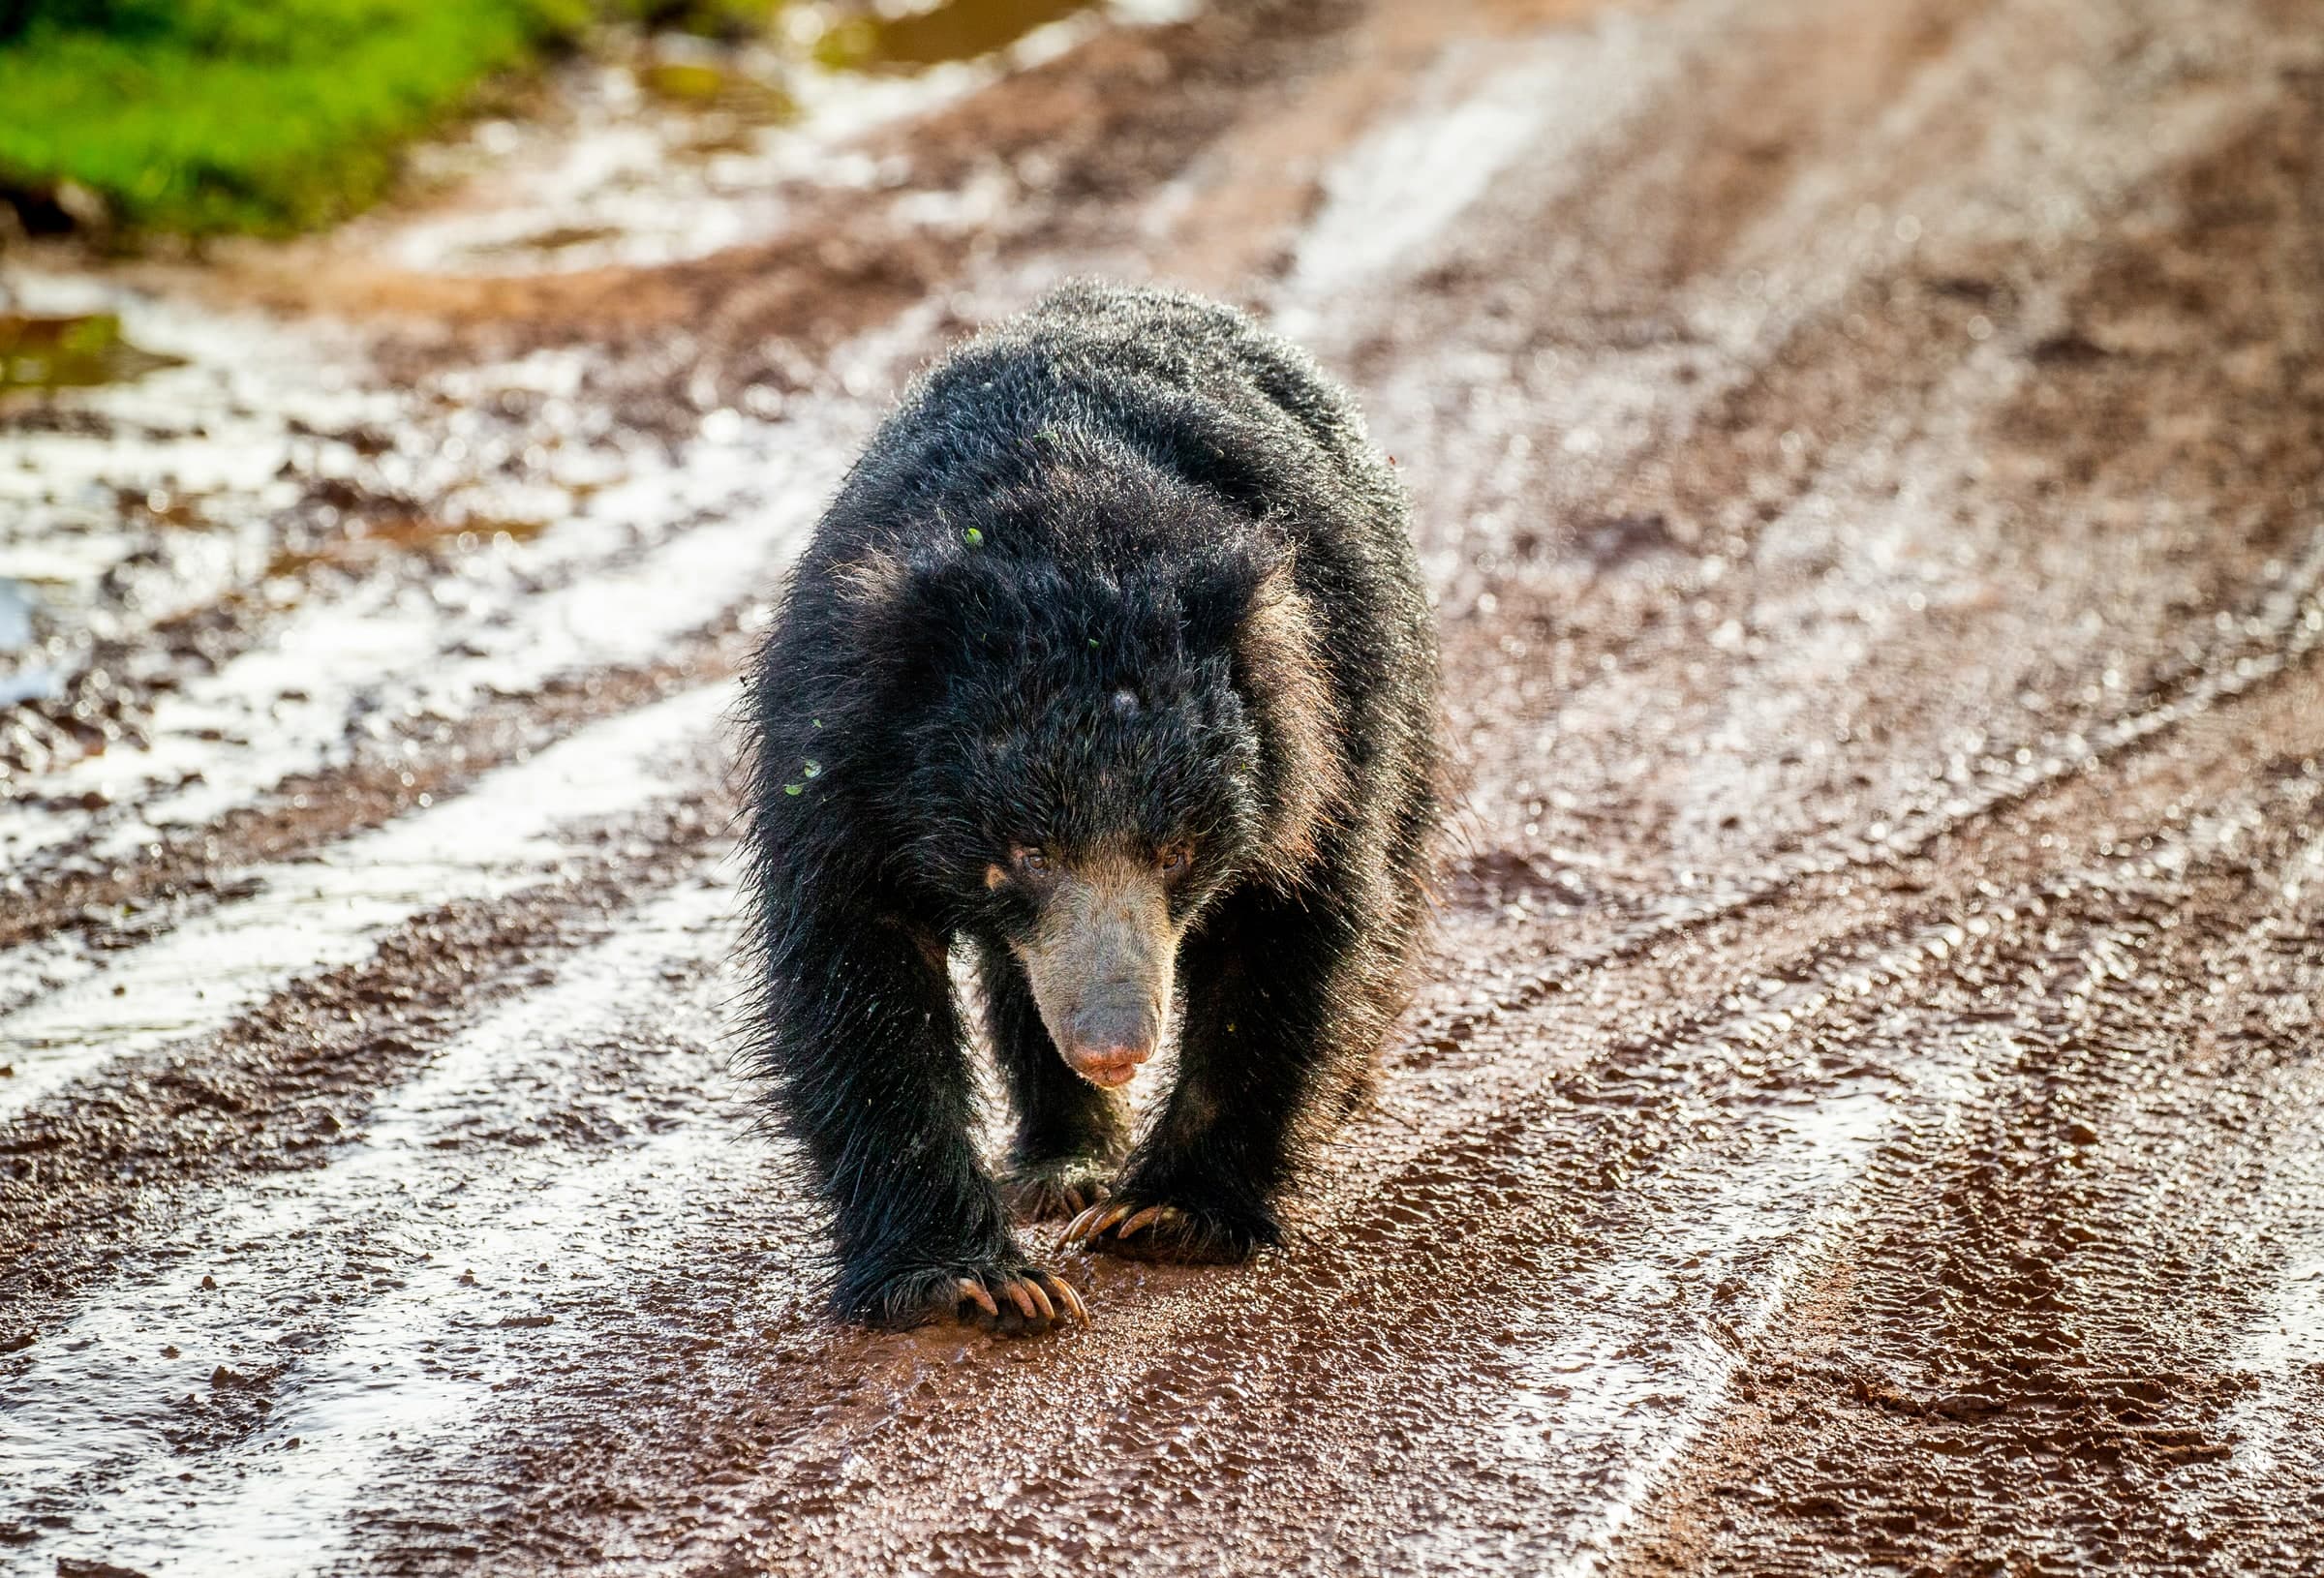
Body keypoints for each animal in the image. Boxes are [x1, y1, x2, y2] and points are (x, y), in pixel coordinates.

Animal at [742, 280, 1438, 1333]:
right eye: (1026, 850)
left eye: (1177, 851)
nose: (1113, 1046)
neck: (1072, 528)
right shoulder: (840, 758)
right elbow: (856, 969)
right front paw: (970, 1278)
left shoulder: (1329, 732)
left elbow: (1289, 935)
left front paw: (1168, 1213)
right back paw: (1062, 1163)